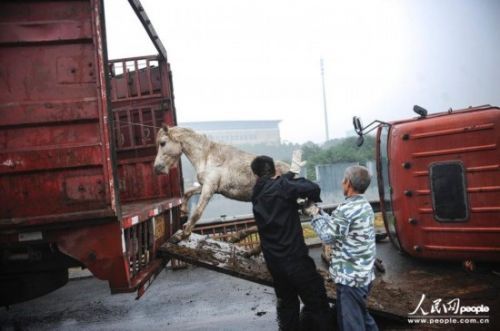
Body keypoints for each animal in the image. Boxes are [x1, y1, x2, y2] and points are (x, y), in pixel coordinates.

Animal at [154, 124, 292, 241]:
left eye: (163, 143)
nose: (157, 168)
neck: (207, 157)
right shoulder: (208, 186)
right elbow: (188, 192)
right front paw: (183, 212)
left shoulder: (209, 187)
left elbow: (197, 212)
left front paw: (183, 235)